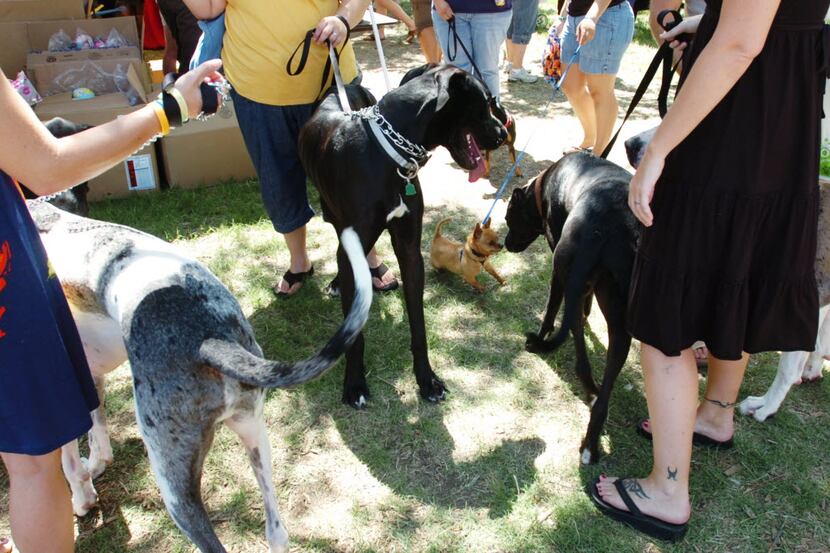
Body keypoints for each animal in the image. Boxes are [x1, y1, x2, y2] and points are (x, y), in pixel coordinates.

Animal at [29, 203, 372, 552]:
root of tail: (208, 339)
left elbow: (71, 463)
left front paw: (82, 498)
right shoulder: (90, 383)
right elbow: (97, 437)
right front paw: (95, 468)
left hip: (174, 483)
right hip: (254, 434)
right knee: (276, 532)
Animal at [300, 64, 508, 408]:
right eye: (485, 103)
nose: (503, 134)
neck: (387, 155)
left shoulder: (410, 248)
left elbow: (418, 323)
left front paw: (427, 380)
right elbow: (353, 334)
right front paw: (355, 384)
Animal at [504, 151, 640, 462]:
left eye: (508, 218)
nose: (505, 244)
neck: (543, 185)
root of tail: (602, 227)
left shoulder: (559, 273)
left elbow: (550, 312)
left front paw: (540, 336)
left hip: (565, 270)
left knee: (576, 343)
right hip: (617, 311)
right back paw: (592, 438)